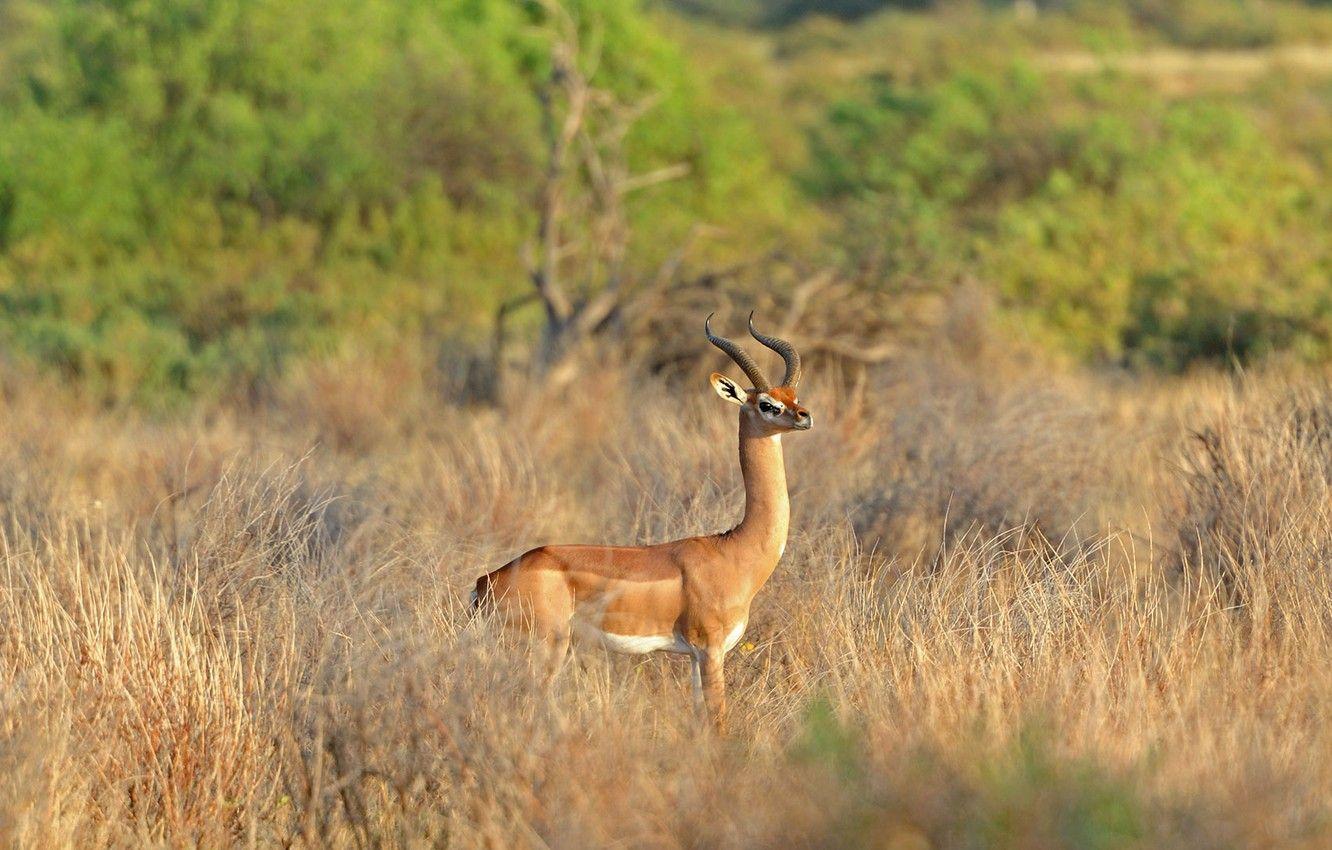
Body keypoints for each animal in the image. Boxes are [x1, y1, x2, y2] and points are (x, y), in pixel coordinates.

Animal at [471, 314, 812, 730]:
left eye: (793, 395)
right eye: (767, 404)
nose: (805, 417)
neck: (734, 551)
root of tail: (487, 582)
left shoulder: (694, 658)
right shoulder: (709, 650)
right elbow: (718, 721)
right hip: (547, 647)